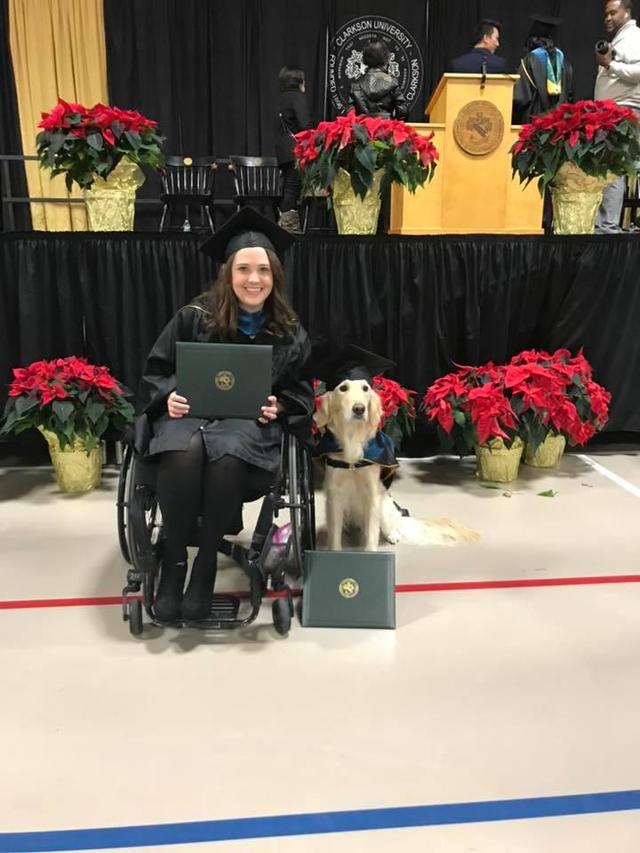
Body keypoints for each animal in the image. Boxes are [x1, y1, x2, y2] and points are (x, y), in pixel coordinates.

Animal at [316, 382, 480, 552]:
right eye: (343, 388)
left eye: (365, 388)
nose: (359, 409)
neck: (353, 439)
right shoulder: (335, 496)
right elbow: (335, 536)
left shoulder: (372, 496)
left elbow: (372, 535)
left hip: (384, 508)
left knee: (389, 527)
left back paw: (393, 535)